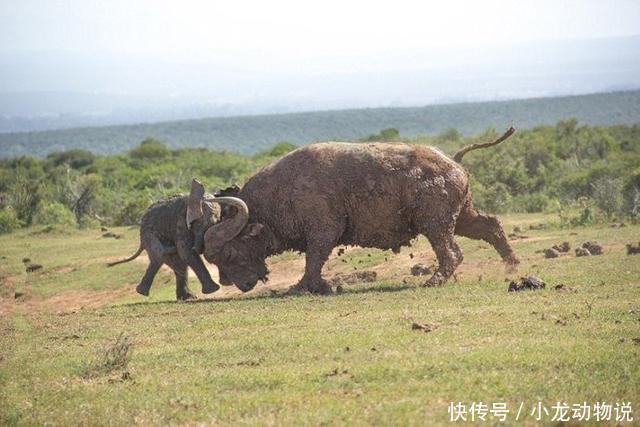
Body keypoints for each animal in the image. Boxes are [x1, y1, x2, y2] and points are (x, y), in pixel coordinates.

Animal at [107, 179, 248, 300]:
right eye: (199, 223)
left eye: (218, 220)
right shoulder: (180, 223)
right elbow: (187, 252)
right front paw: (214, 289)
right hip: (148, 233)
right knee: (159, 256)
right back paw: (142, 292)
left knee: (177, 262)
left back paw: (187, 297)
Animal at [205, 127, 520, 294]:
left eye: (228, 254)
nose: (238, 284)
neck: (282, 191)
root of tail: (453, 162)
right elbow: (314, 261)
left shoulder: (323, 232)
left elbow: (313, 260)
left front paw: (304, 286)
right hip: (461, 216)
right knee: (491, 226)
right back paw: (511, 265)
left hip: (435, 223)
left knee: (453, 252)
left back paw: (434, 280)